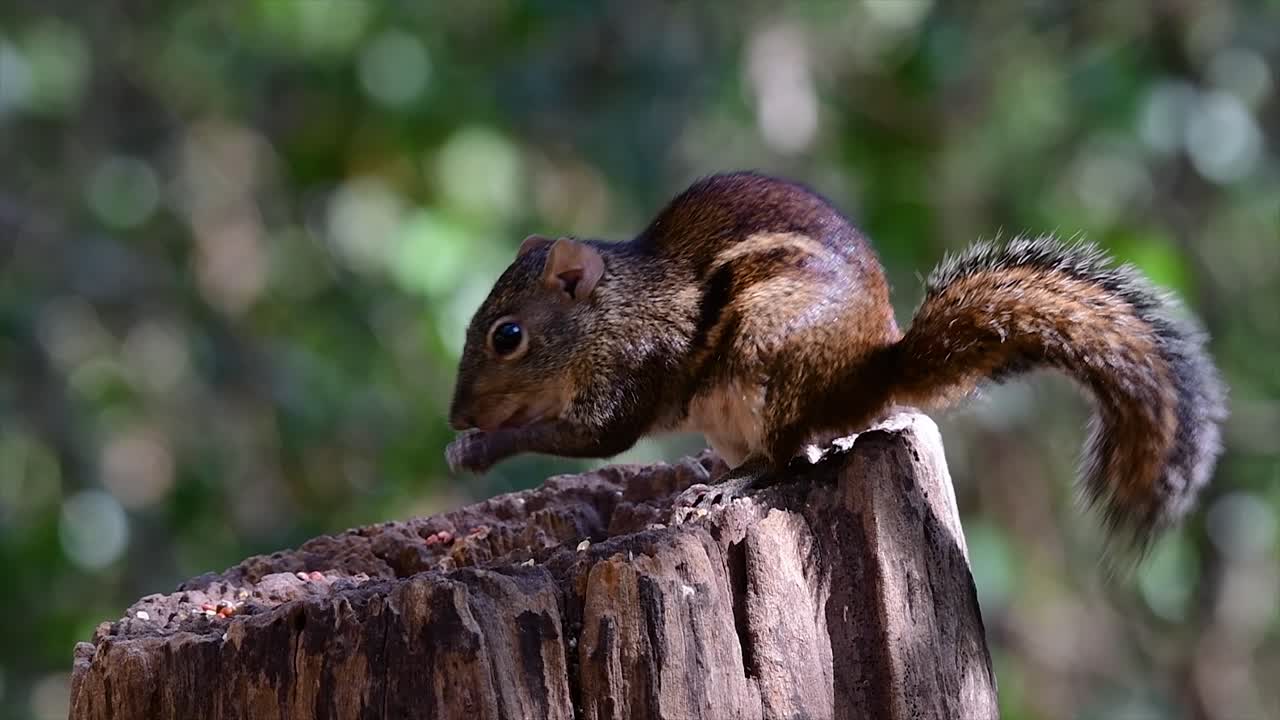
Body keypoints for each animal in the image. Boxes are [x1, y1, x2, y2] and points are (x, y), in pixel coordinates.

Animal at [446, 171, 1226, 550]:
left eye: (507, 336)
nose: (455, 416)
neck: (613, 309)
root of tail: (871, 373)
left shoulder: (630, 372)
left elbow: (597, 436)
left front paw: (480, 448)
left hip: (772, 363)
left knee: (789, 459)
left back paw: (725, 488)